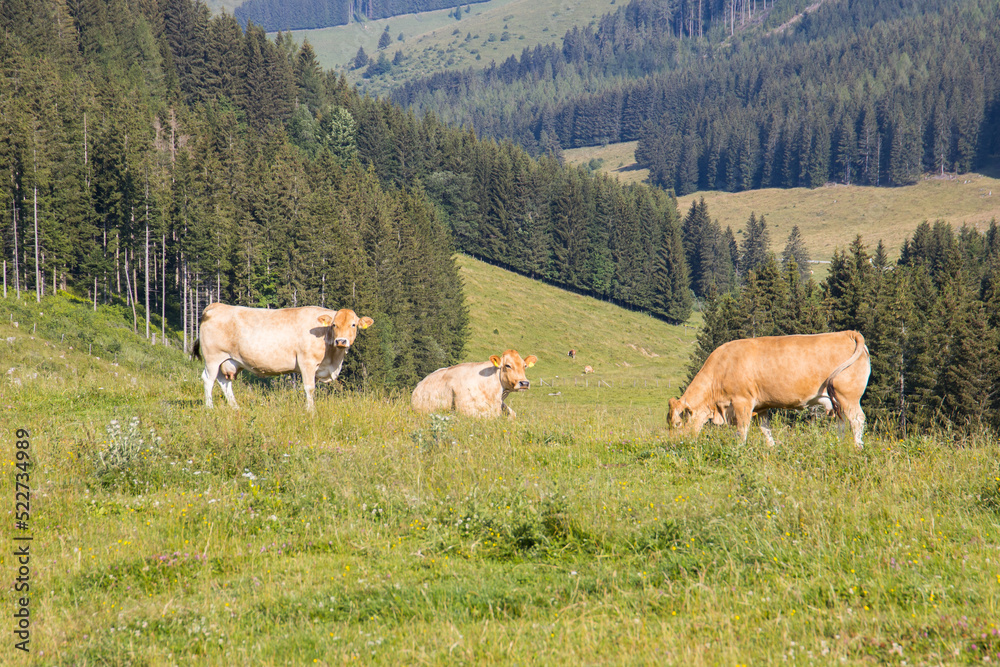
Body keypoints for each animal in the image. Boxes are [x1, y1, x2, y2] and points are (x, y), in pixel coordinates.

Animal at [192, 303, 373, 412]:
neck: (333, 359)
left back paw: (235, 407)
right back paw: (209, 407)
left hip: (229, 360)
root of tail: (217, 305)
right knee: (208, 379)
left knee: (224, 382)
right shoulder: (306, 362)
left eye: (353, 324)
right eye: (334, 325)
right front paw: (311, 411)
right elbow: (310, 388)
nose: (341, 341)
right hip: (213, 358)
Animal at [668, 331, 870, 448]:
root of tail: (848, 333)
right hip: (837, 399)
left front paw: (739, 449)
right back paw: (839, 445)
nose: (675, 444)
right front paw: (771, 448)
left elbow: (742, 430)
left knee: (857, 419)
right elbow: (765, 429)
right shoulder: (761, 406)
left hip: (848, 395)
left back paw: (857, 448)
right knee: (842, 421)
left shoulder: (742, 401)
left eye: (677, 424)